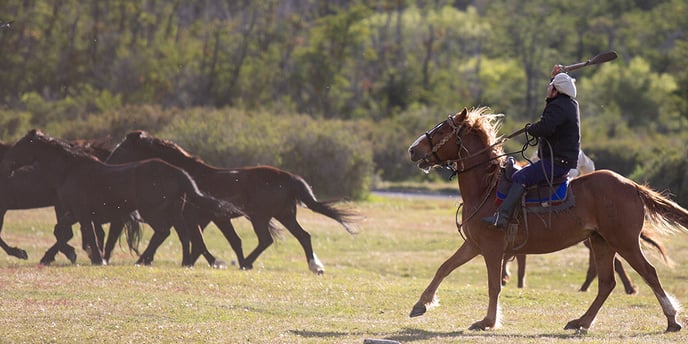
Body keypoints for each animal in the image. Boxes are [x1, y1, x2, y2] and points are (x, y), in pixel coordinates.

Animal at [0, 129, 242, 266]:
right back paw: (185, 262)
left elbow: (84, 234)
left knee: (165, 232)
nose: (7, 165)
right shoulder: (75, 212)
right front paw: (54, 256)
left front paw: (96, 259)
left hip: (153, 211)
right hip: (174, 211)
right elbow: (63, 232)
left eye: (20, 145)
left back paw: (144, 259)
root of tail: (179, 172)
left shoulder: (81, 212)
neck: (70, 169)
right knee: (182, 235)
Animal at [105, 130, 358, 274]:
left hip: (260, 217)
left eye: (123, 147)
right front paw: (199, 262)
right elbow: (213, 241)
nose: (107, 162)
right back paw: (314, 267)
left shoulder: (198, 217)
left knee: (267, 239)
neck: (189, 175)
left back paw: (249, 263)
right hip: (284, 215)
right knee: (303, 236)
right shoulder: (211, 218)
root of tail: (289, 177)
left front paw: (209, 262)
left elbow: (199, 241)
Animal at [408, 108, 688, 334]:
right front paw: (421, 304)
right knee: (607, 283)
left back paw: (671, 319)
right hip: (601, 243)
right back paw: (582, 321)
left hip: (624, 242)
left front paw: (487, 322)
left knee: (648, 273)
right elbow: (445, 267)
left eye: (443, 129)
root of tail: (633, 186)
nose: (413, 150)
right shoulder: (475, 245)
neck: (486, 187)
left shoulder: (492, 249)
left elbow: (493, 286)